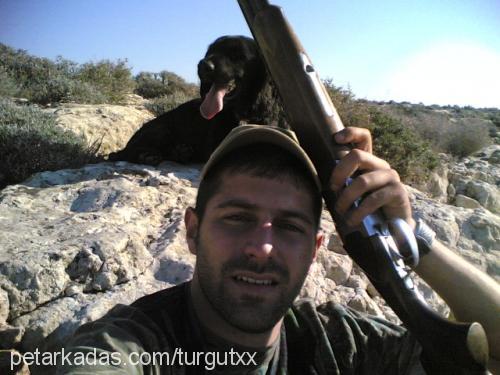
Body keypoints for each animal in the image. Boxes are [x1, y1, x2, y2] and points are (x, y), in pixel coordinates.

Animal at [109, 35, 286, 164]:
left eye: (237, 55)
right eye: (210, 51)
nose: (203, 65)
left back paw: (180, 152)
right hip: (161, 129)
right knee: (124, 153)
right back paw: (149, 155)